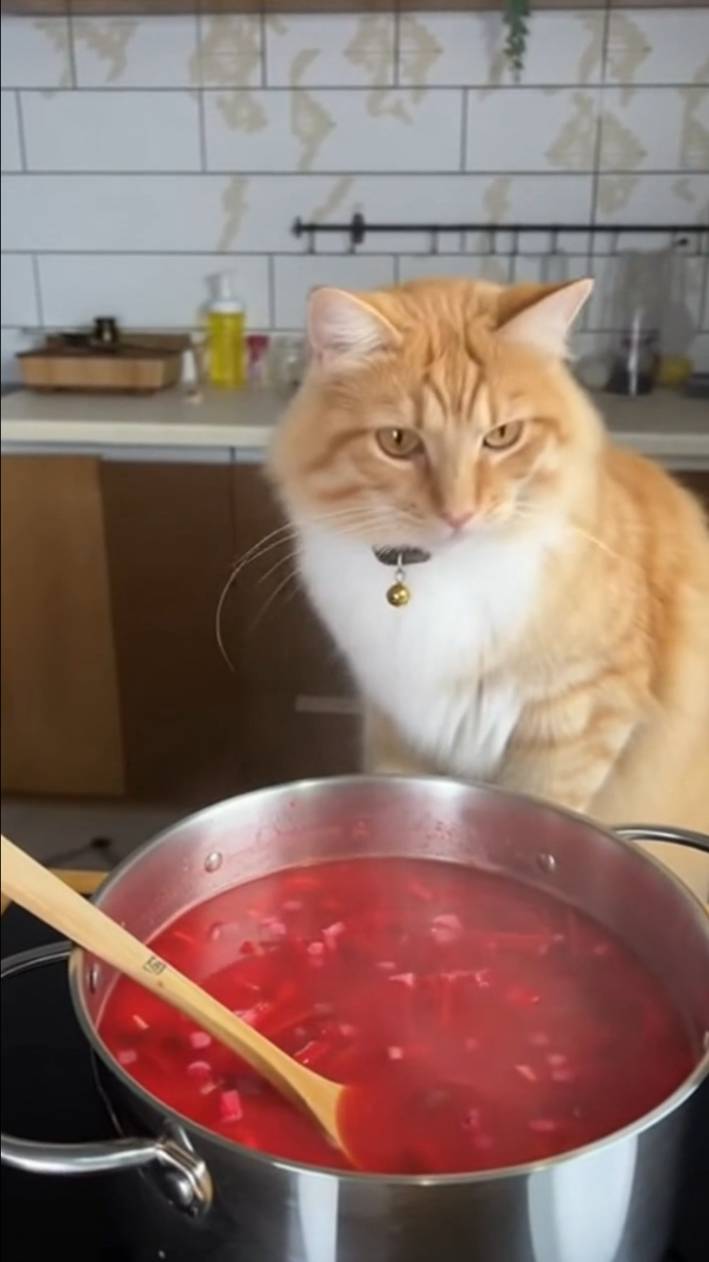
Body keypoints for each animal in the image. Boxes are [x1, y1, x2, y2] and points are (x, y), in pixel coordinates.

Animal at [269, 278, 709, 898]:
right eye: (397, 441)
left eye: (502, 436)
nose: (460, 513)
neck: (437, 575)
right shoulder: (395, 721)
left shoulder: (580, 719)